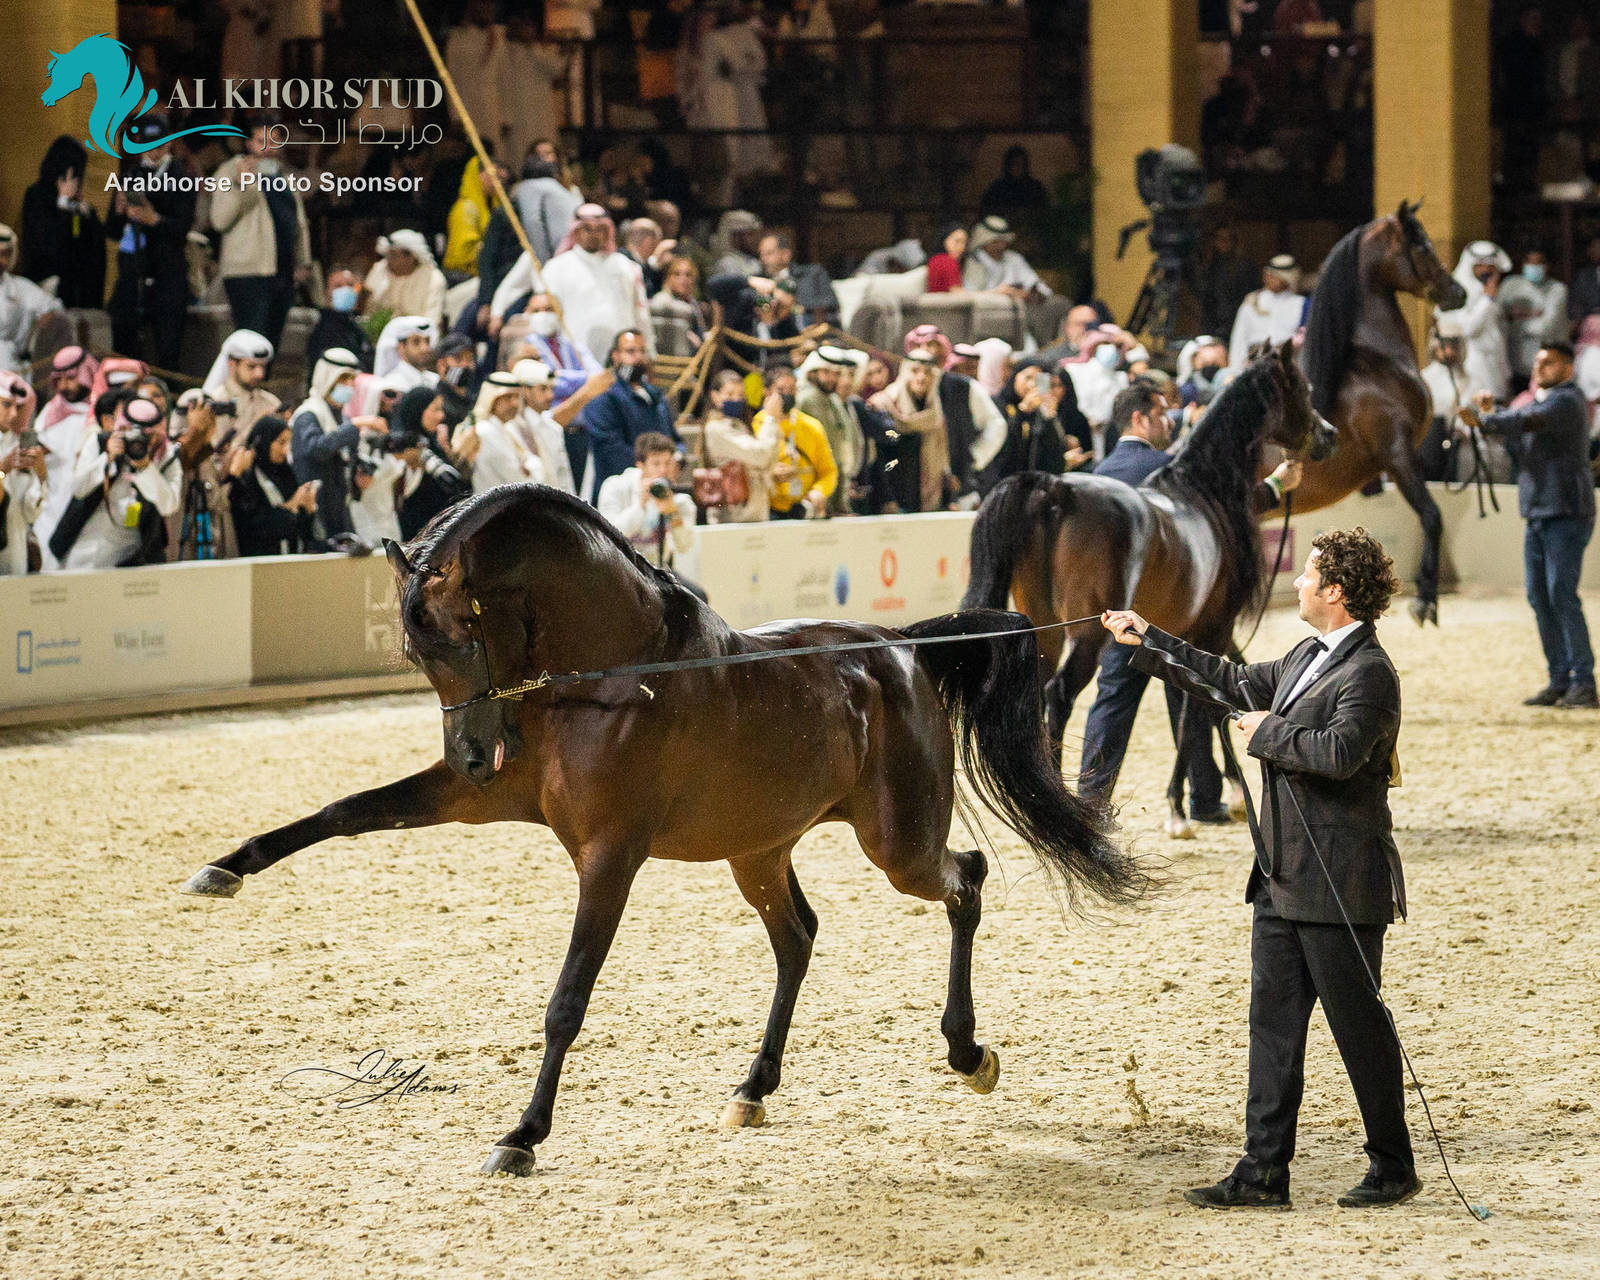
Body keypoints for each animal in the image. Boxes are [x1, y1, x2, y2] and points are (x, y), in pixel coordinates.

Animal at [181, 484, 1153, 1176]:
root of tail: (904, 651)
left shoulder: (610, 853)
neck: (613, 673)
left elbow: (567, 1000)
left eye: (462, 636)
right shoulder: (498, 799)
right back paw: (753, 1090)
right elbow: (345, 813)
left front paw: (522, 1135)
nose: (472, 753)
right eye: (415, 654)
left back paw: (967, 1051)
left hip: (897, 842)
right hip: (757, 850)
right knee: (799, 937)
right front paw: (224, 869)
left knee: (965, 880)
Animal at [960, 342, 1335, 829]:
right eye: (1304, 388)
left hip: (1043, 625)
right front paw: (1181, 806)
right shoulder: (1213, 626)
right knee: (1059, 694)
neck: (1204, 492)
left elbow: (1210, 690)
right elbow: (1200, 707)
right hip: (1087, 634)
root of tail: (1054, 487)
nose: (1328, 435)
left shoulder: (1179, 632)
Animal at [1268, 200, 1467, 624]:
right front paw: (1425, 599)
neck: (1377, 363)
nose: (1457, 292)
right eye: (1423, 246)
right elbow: (1432, 516)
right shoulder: (1397, 454)